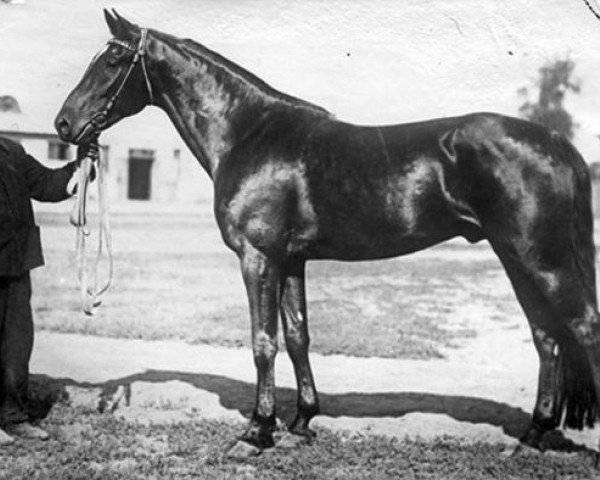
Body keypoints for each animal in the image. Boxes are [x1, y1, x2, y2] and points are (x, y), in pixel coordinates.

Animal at [55, 9, 600, 456]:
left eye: (112, 61)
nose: (63, 124)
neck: (250, 134)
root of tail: (557, 142)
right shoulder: (291, 259)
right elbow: (298, 336)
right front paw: (301, 423)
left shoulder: (258, 257)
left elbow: (263, 341)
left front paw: (256, 432)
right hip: (518, 258)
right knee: (546, 337)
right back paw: (531, 437)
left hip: (541, 259)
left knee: (581, 329)